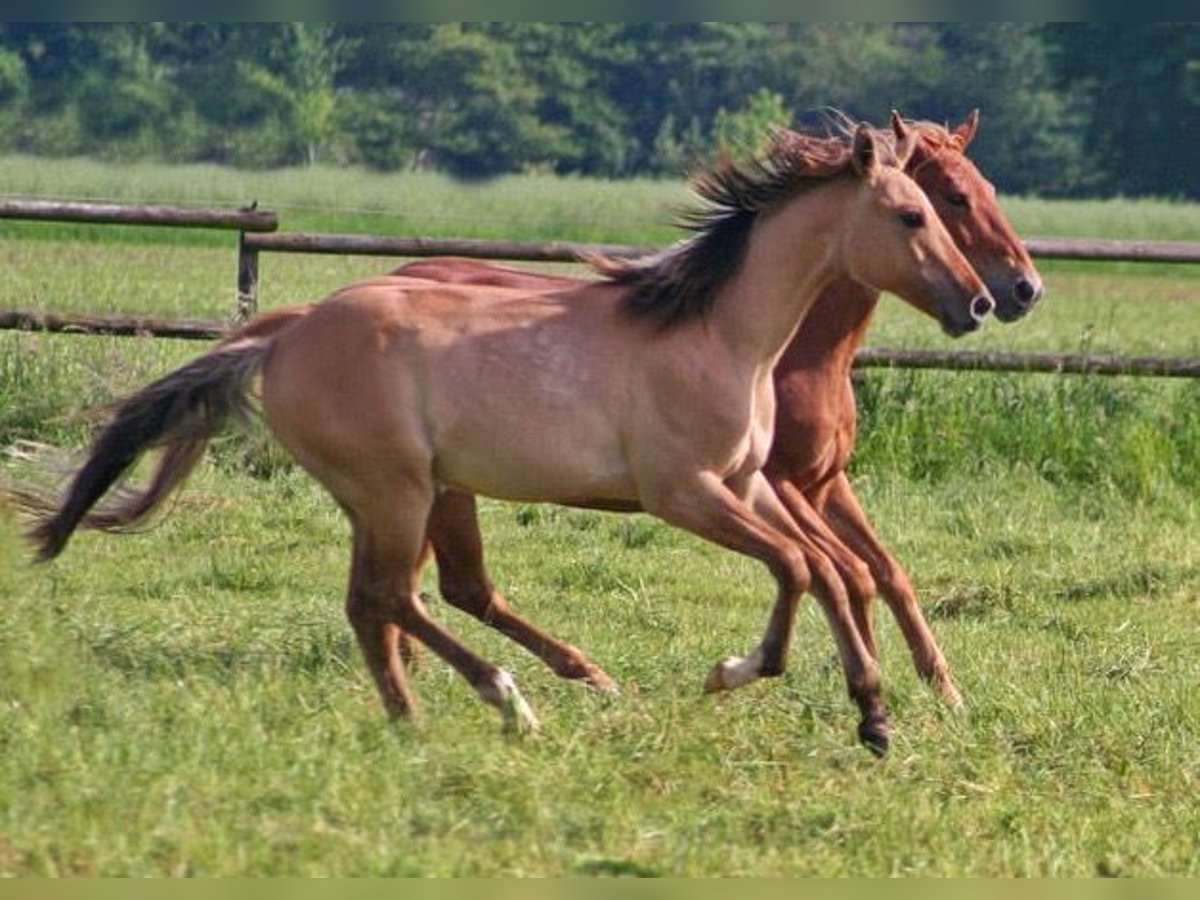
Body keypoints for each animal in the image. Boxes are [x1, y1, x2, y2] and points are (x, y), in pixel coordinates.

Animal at [14, 121, 993, 753]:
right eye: (916, 213)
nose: (984, 301)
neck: (719, 333)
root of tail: (286, 332)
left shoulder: (751, 482)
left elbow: (828, 568)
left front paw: (874, 713)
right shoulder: (684, 492)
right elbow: (798, 567)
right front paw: (733, 671)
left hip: (394, 495)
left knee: (382, 603)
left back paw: (417, 718)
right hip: (397, 490)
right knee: (393, 597)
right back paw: (510, 702)